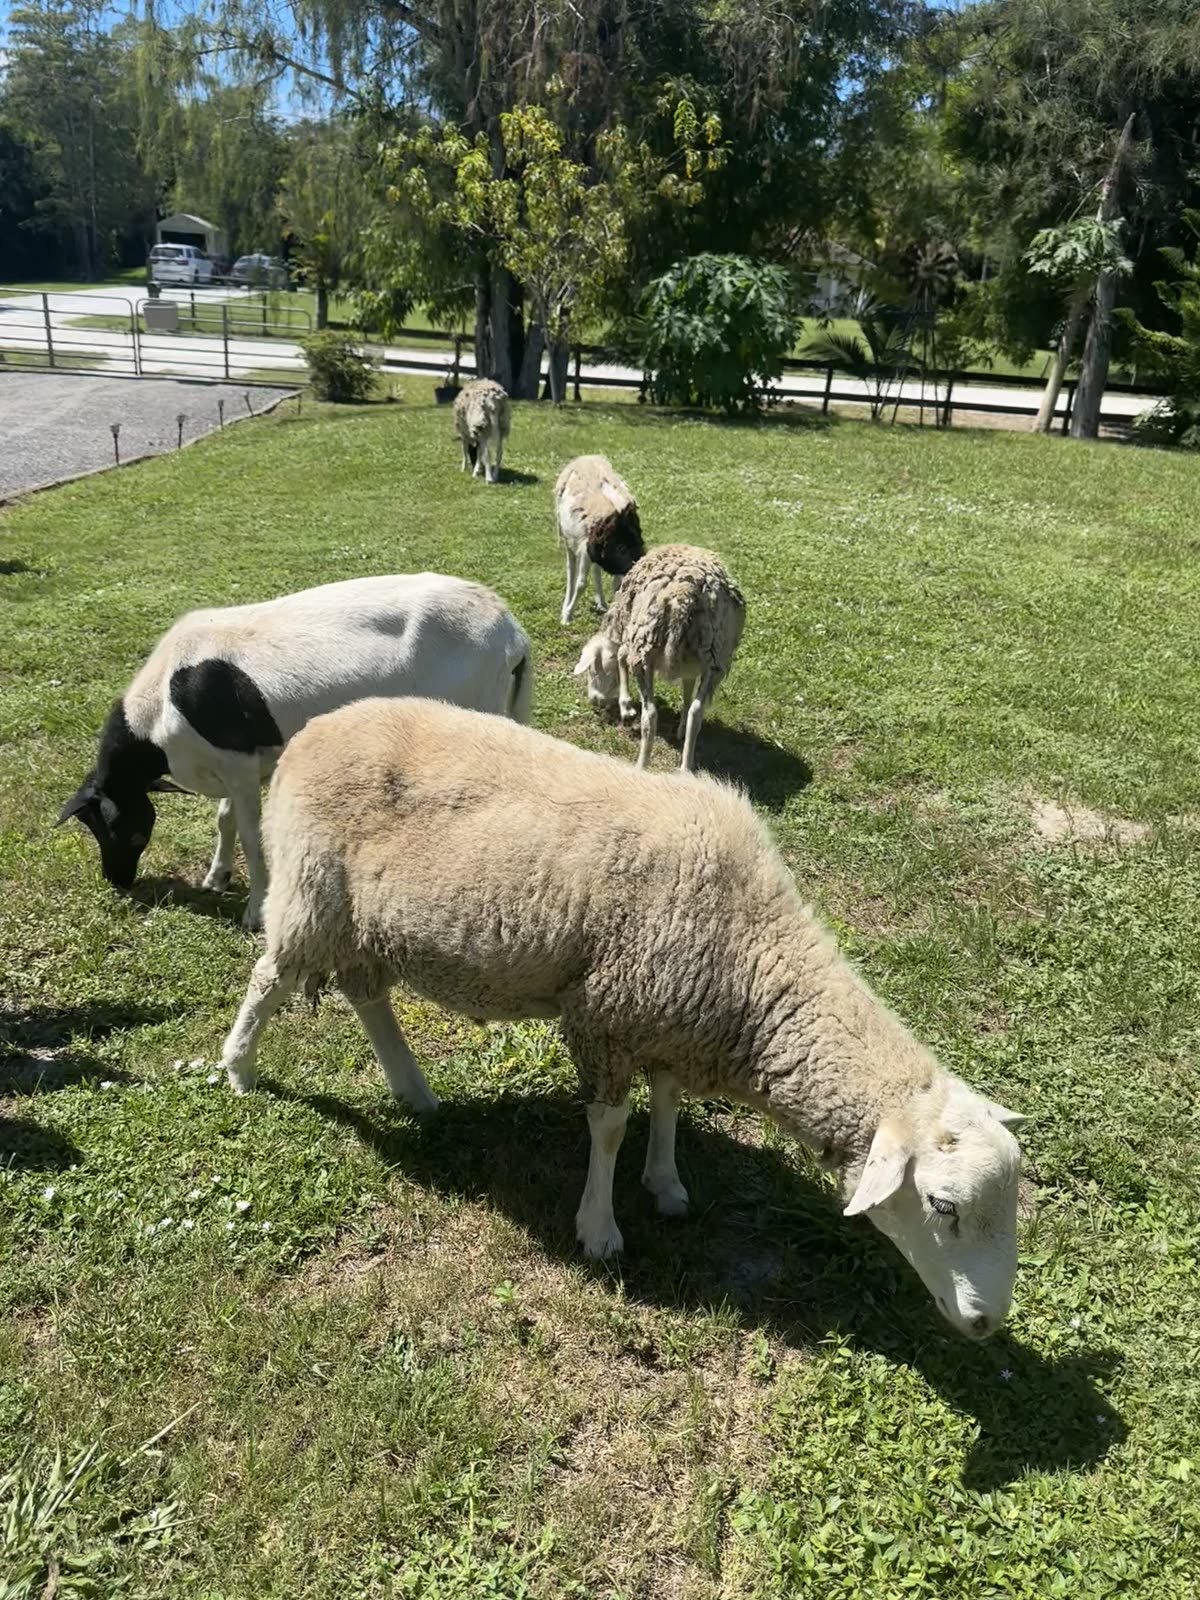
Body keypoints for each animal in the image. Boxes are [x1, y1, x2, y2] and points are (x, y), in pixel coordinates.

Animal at [57, 575, 532, 930]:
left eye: (122, 830)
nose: (117, 881)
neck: (157, 711)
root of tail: (509, 629)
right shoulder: (244, 764)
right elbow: (225, 820)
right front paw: (216, 878)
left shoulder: (238, 763)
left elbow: (252, 835)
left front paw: (255, 911)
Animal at [219, 697, 1026, 1339]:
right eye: (942, 1207)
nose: (986, 1323)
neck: (752, 957)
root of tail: (312, 731)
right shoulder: (606, 1014)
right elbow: (608, 1127)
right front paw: (599, 1228)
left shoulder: (669, 1014)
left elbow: (666, 1102)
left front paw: (665, 1183)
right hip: (311, 889)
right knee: (268, 977)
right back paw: (240, 1067)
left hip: (366, 921)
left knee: (366, 996)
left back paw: (414, 1092)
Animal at [554, 455, 645, 624]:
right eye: (621, 548)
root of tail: (585, 458)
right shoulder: (585, 549)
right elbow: (581, 584)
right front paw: (567, 615)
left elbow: (616, 584)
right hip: (567, 537)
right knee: (571, 570)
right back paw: (566, 607)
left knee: (596, 570)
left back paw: (601, 602)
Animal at [574, 543, 745, 772]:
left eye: (593, 671)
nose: (594, 700)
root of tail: (685, 595)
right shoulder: (691, 664)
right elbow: (687, 690)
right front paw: (681, 728)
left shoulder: (630, 640)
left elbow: (620, 658)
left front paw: (625, 706)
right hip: (716, 654)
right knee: (697, 712)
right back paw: (685, 768)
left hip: (645, 647)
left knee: (651, 714)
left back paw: (641, 765)